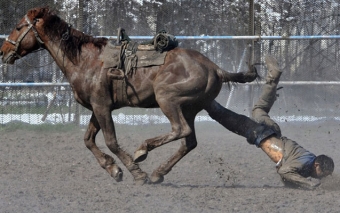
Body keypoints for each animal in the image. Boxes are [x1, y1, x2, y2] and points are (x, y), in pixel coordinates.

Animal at [0, 7, 256, 185]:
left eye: (19, 27)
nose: (3, 51)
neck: (85, 60)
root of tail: (215, 68)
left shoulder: (102, 107)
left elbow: (111, 141)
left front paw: (135, 172)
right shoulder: (97, 108)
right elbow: (88, 140)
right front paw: (113, 169)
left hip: (168, 99)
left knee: (180, 130)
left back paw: (143, 152)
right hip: (191, 108)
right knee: (189, 141)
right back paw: (158, 173)